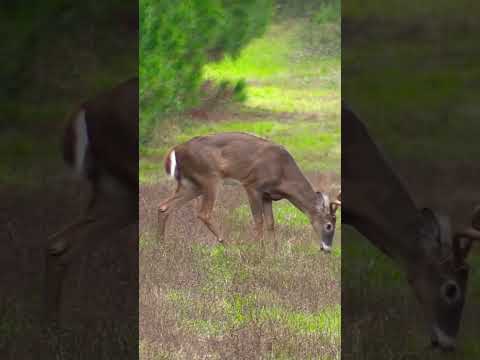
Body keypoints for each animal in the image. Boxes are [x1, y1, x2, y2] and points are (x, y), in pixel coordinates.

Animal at [158, 131, 342, 250]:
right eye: (328, 226)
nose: (327, 249)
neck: (283, 174)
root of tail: (175, 150)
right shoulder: (252, 185)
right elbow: (258, 220)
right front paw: (259, 251)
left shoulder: (268, 195)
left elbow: (271, 223)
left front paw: (275, 252)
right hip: (209, 177)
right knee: (204, 213)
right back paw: (227, 244)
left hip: (192, 184)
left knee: (164, 206)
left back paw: (161, 245)